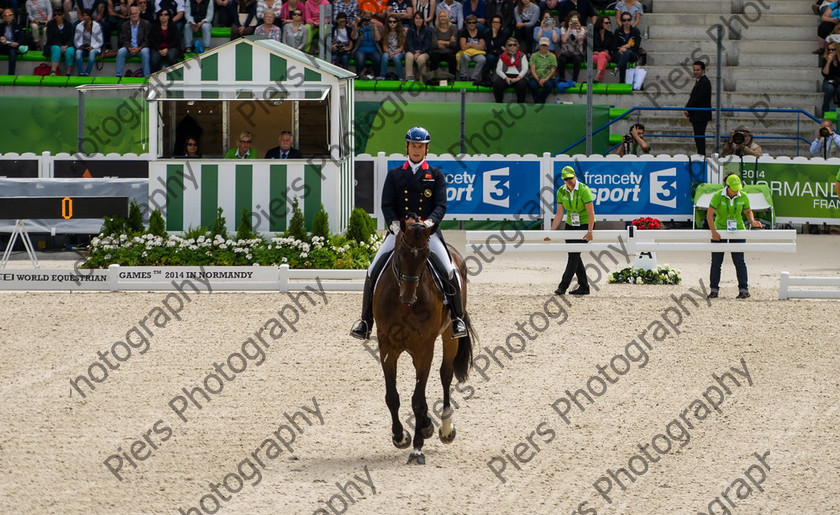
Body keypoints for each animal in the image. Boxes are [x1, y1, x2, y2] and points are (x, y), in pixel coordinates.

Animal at [372, 216, 472, 466]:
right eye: (400, 252)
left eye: (426, 254)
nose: (408, 297)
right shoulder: (387, 347)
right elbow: (392, 397)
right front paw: (400, 437)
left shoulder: (424, 349)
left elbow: (418, 400)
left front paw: (417, 448)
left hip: (449, 336)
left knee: (446, 375)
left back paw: (446, 428)